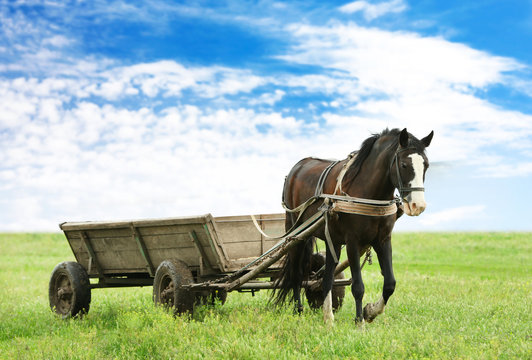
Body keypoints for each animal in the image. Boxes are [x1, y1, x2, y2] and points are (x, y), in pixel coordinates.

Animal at [274, 127, 432, 324]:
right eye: (404, 165)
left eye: (426, 165)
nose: (418, 205)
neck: (367, 193)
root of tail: (297, 167)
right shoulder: (352, 242)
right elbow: (358, 286)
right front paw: (359, 321)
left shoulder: (383, 240)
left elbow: (390, 284)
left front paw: (370, 311)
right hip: (296, 233)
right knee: (296, 273)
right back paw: (299, 310)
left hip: (331, 238)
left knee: (326, 276)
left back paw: (328, 316)